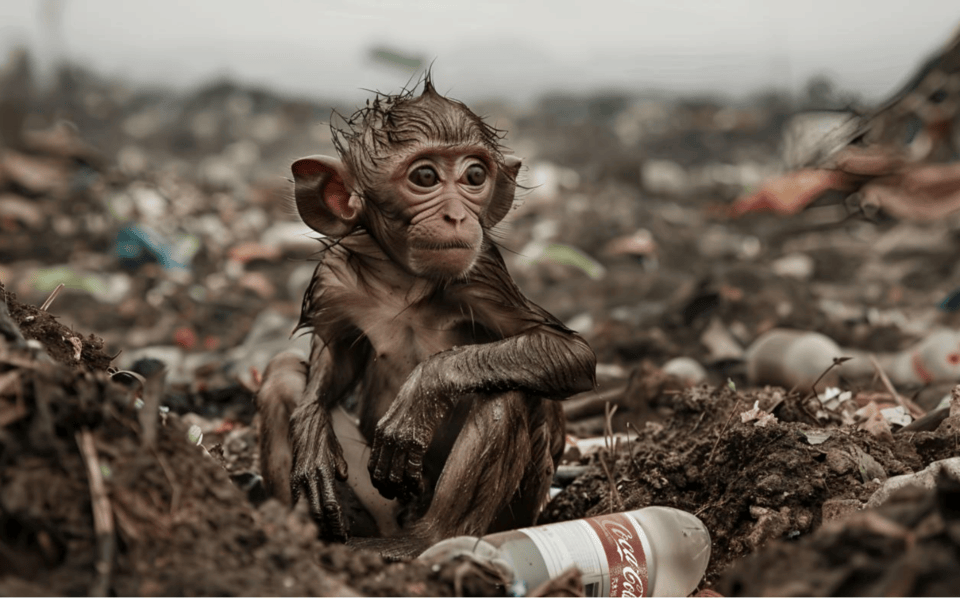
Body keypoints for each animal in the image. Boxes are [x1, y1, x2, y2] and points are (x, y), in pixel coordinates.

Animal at [255, 78, 597, 558]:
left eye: (474, 176)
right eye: (424, 178)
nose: (456, 215)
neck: (404, 279)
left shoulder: (482, 271)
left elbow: (570, 352)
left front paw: (423, 391)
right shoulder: (333, 277)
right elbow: (335, 353)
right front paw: (311, 436)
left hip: (513, 515)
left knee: (507, 395)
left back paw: (426, 540)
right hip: (375, 508)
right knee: (283, 375)